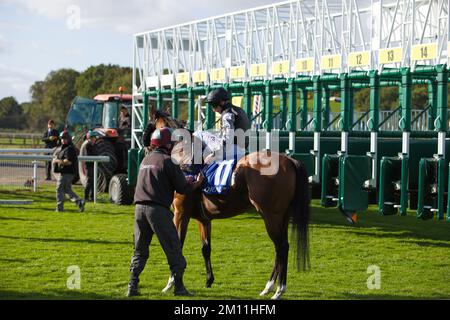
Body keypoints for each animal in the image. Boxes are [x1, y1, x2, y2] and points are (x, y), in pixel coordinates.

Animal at [142, 111, 312, 298]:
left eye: (149, 126)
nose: (147, 151)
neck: (185, 156)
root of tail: (289, 160)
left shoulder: (180, 213)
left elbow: (176, 246)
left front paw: (170, 284)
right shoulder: (203, 219)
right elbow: (205, 248)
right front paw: (209, 280)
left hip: (271, 216)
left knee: (281, 247)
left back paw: (279, 290)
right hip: (282, 216)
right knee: (281, 247)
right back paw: (269, 287)